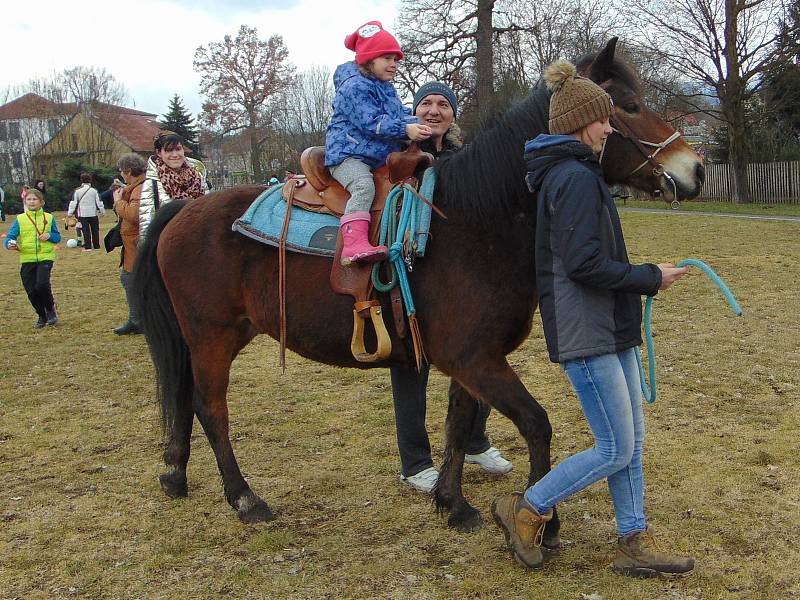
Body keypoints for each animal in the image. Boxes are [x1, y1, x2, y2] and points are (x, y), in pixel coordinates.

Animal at [134, 38, 704, 540]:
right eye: (629, 106)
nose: (695, 168)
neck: (476, 220)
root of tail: (184, 208)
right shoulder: (476, 358)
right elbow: (536, 424)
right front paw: (544, 525)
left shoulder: (473, 360)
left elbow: (459, 424)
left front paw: (452, 504)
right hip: (211, 337)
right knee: (210, 408)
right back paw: (244, 498)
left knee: (184, 399)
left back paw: (176, 474)